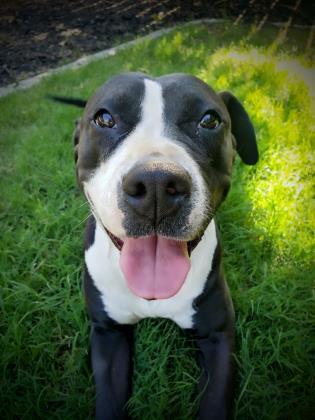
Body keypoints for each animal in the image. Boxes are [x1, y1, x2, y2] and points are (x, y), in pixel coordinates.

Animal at [53, 70, 260, 418]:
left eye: (209, 120)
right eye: (105, 118)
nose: (156, 184)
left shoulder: (218, 335)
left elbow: (215, 402)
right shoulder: (108, 333)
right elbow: (109, 403)